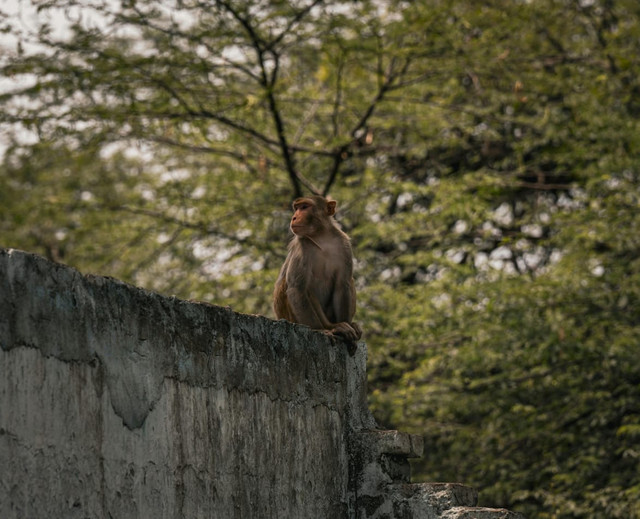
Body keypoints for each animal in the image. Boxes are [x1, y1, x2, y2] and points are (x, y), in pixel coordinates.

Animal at [272, 195, 362, 346]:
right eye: (296, 208)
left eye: (304, 207)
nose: (294, 217)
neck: (322, 238)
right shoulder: (301, 247)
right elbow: (296, 289)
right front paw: (321, 330)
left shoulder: (344, 244)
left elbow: (342, 285)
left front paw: (348, 334)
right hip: (291, 317)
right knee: (300, 287)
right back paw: (332, 327)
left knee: (350, 281)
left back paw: (346, 325)